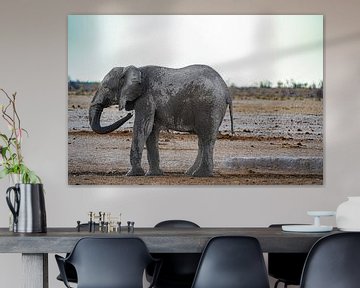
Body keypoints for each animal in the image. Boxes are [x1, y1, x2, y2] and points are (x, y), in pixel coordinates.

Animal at [89, 65, 233, 177]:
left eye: (106, 88)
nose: (129, 114)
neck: (134, 69)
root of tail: (226, 90)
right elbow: (151, 131)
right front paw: (152, 174)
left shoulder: (146, 98)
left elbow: (142, 129)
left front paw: (132, 174)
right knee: (202, 140)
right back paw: (190, 173)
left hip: (210, 106)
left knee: (206, 138)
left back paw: (200, 175)